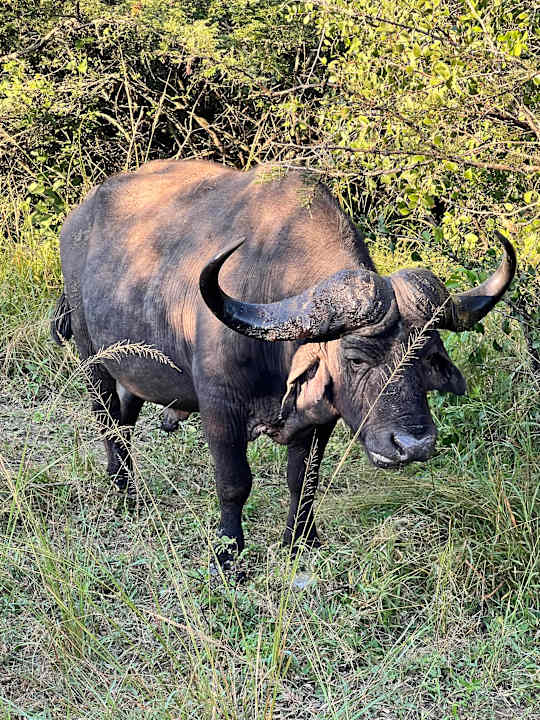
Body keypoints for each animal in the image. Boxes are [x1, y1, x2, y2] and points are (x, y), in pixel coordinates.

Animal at [52, 159, 515, 565]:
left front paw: (301, 539)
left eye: (424, 356)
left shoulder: (321, 417)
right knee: (107, 418)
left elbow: (303, 479)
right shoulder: (219, 409)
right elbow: (234, 483)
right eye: (355, 358)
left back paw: (125, 485)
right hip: (94, 360)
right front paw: (228, 553)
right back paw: (123, 492)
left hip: (133, 370)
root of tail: (77, 223)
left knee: (126, 420)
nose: (414, 445)